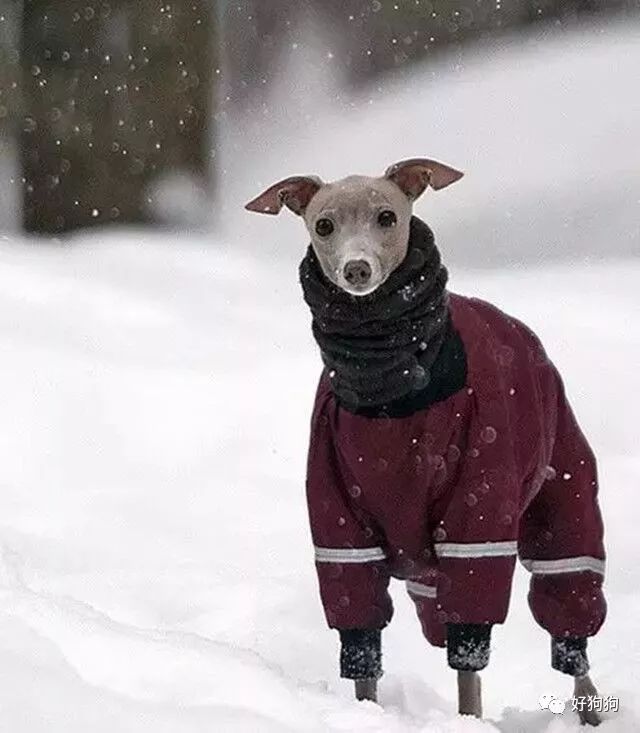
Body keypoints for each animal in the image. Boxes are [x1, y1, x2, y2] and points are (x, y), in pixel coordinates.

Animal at [245, 157, 604, 724]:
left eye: (387, 216)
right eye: (323, 225)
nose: (357, 270)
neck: (390, 388)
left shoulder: (478, 517)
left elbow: (471, 651)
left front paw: (468, 722)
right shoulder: (340, 527)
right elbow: (361, 636)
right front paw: (365, 712)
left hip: (563, 500)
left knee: (568, 606)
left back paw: (588, 707)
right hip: (425, 572)